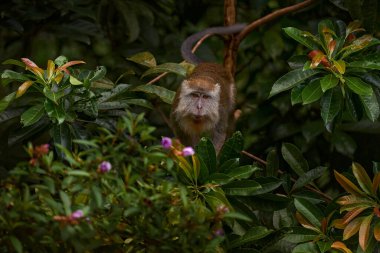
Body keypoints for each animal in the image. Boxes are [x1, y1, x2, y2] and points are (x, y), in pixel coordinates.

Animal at [171, 24, 245, 152]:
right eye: (195, 95)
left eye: (205, 97)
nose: (199, 107)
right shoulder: (177, 109)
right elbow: (181, 133)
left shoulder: (220, 112)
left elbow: (219, 134)